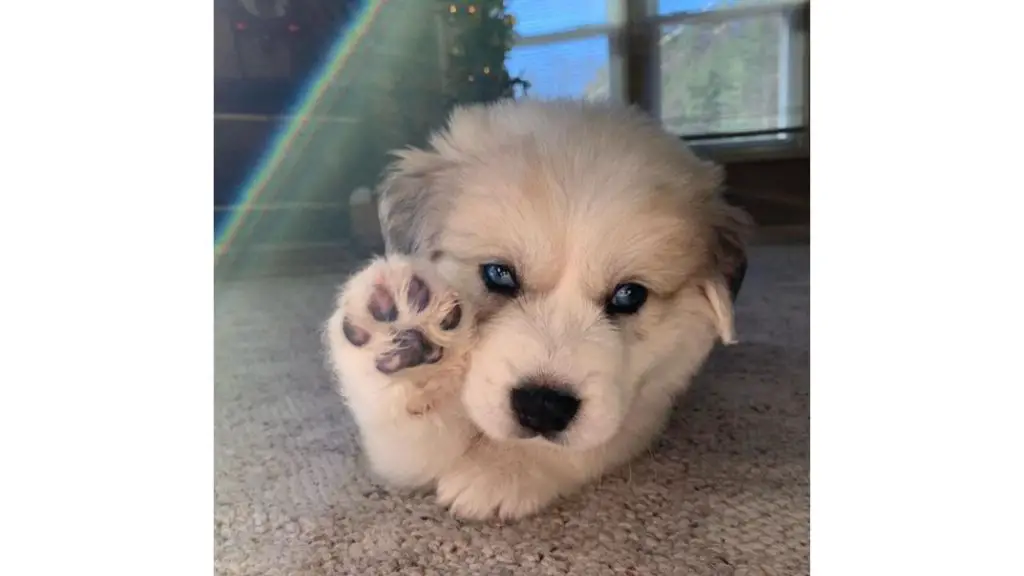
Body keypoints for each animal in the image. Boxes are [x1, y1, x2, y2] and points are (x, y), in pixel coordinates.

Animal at [323, 96, 749, 518]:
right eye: (498, 274)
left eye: (629, 295)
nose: (543, 406)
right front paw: (410, 349)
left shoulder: (649, 400)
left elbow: (593, 443)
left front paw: (502, 468)